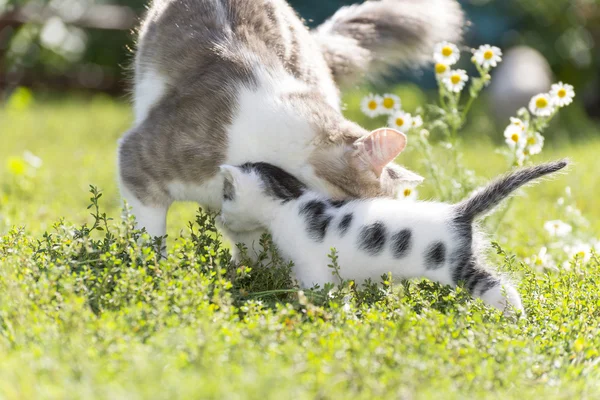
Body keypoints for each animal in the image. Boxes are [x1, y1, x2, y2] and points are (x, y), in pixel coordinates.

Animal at [217, 156, 568, 312]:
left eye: (225, 196)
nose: (219, 217)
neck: (291, 202)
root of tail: (458, 212)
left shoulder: (313, 272)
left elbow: (322, 295)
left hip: (458, 268)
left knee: (501, 287)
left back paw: (514, 316)